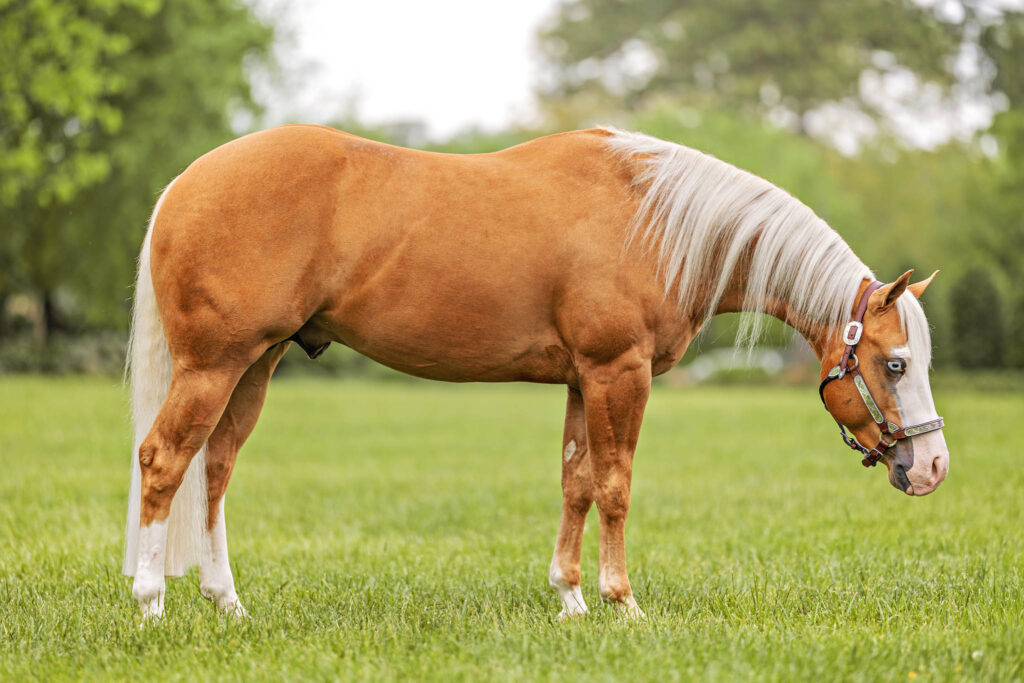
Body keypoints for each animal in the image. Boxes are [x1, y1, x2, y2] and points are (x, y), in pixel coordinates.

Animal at [123, 124, 949, 619]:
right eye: (895, 362)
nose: (933, 466)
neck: (651, 216)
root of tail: (183, 183)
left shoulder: (584, 379)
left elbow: (576, 481)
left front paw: (570, 599)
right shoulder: (619, 372)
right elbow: (615, 485)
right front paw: (622, 602)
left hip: (254, 365)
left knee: (215, 467)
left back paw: (226, 601)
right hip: (214, 364)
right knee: (164, 460)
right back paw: (152, 602)